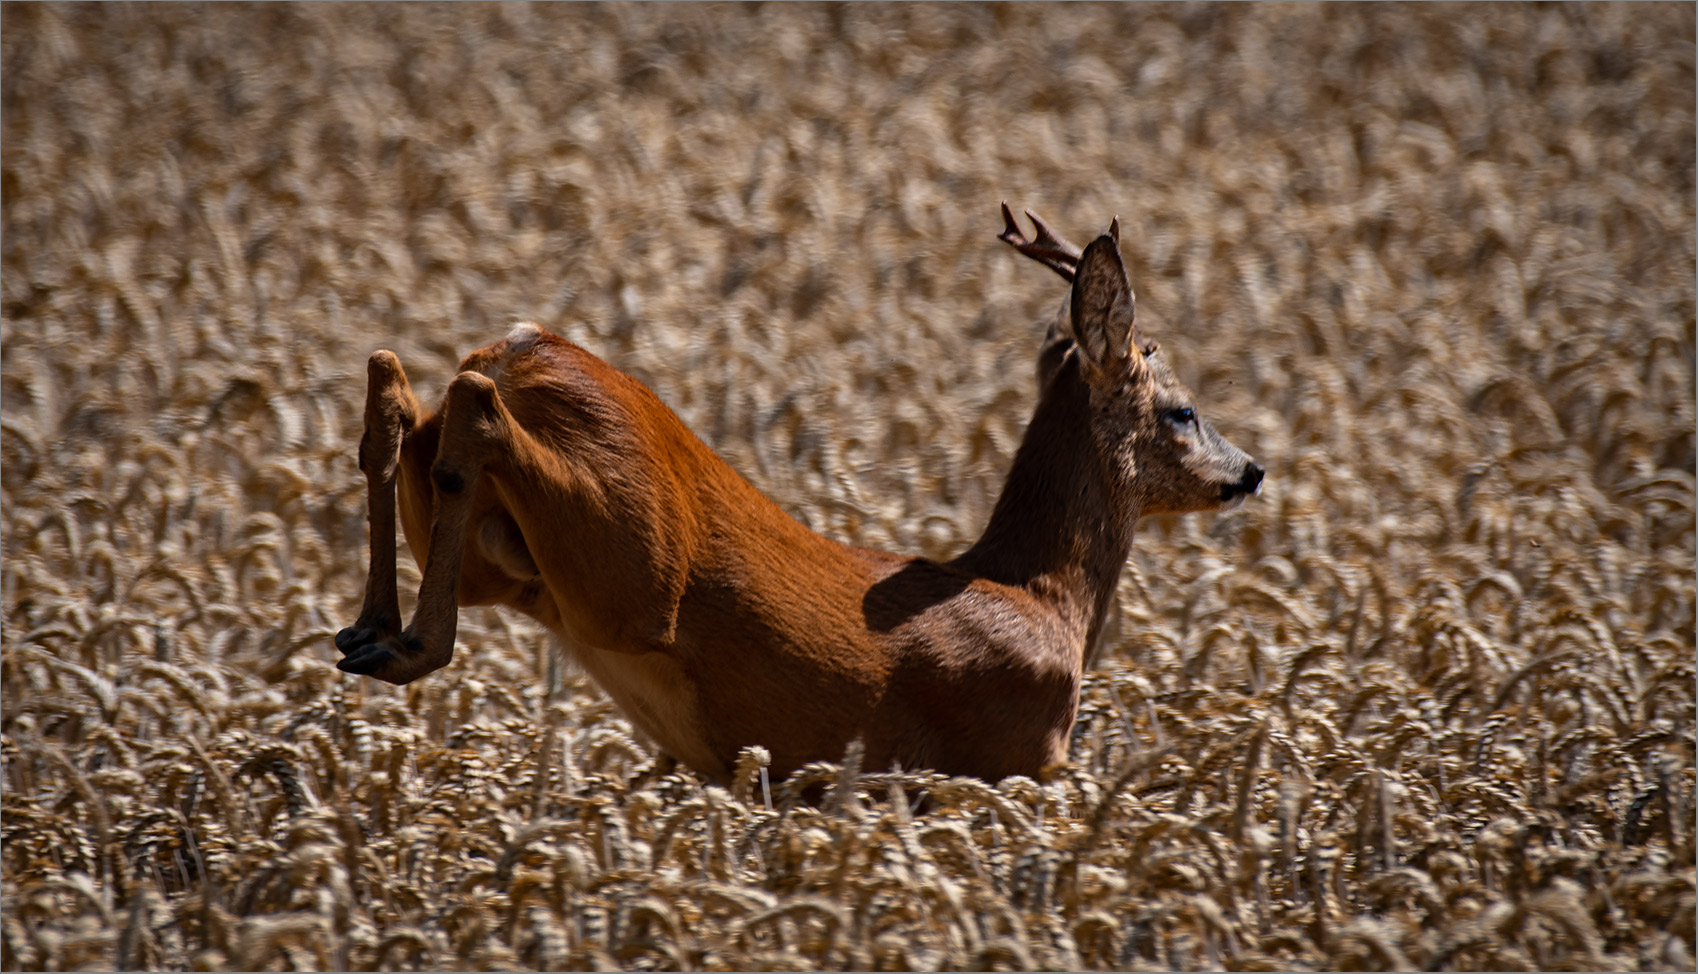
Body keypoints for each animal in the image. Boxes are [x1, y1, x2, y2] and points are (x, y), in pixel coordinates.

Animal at [334, 206, 1263, 787]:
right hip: (626, 570)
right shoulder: (1022, 762)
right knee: (466, 402)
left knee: (396, 392)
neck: (1041, 593)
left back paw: (369, 634)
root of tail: (519, 350)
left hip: (506, 559)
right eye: (1182, 410)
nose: (1250, 470)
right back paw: (406, 646)